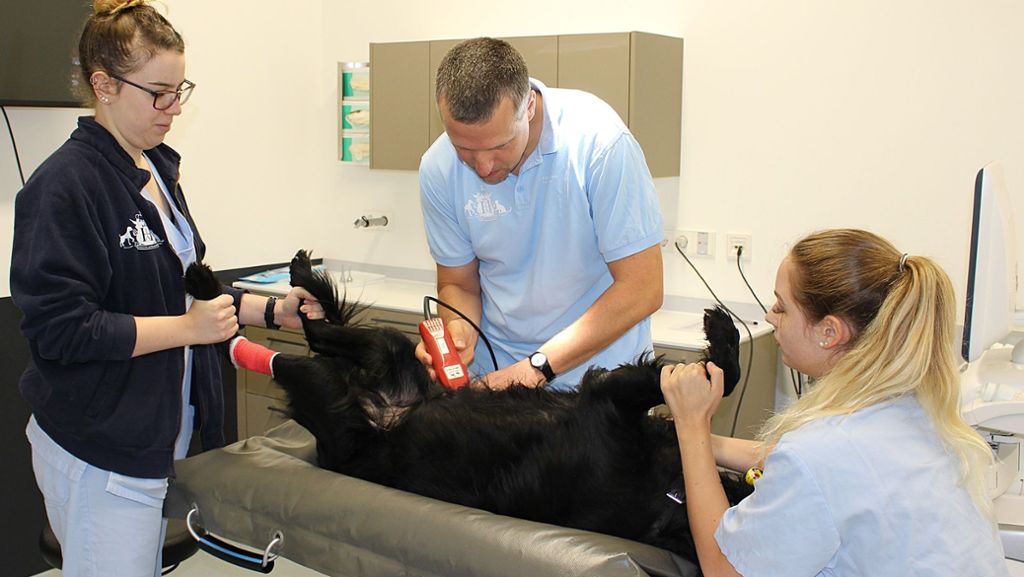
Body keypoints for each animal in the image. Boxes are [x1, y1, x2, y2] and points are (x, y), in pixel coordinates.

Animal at [184, 252, 749, 565]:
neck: (666, 497)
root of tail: (381, 407)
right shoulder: (613, 400)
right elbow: (720, 379)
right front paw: (723, 340)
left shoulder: (608, 399)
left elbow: (714, 380)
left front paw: (719, 345)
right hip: (392, 346)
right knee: (320, 327)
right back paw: (296, 280)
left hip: (324, 384)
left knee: (288, 340)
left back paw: (212, 290)